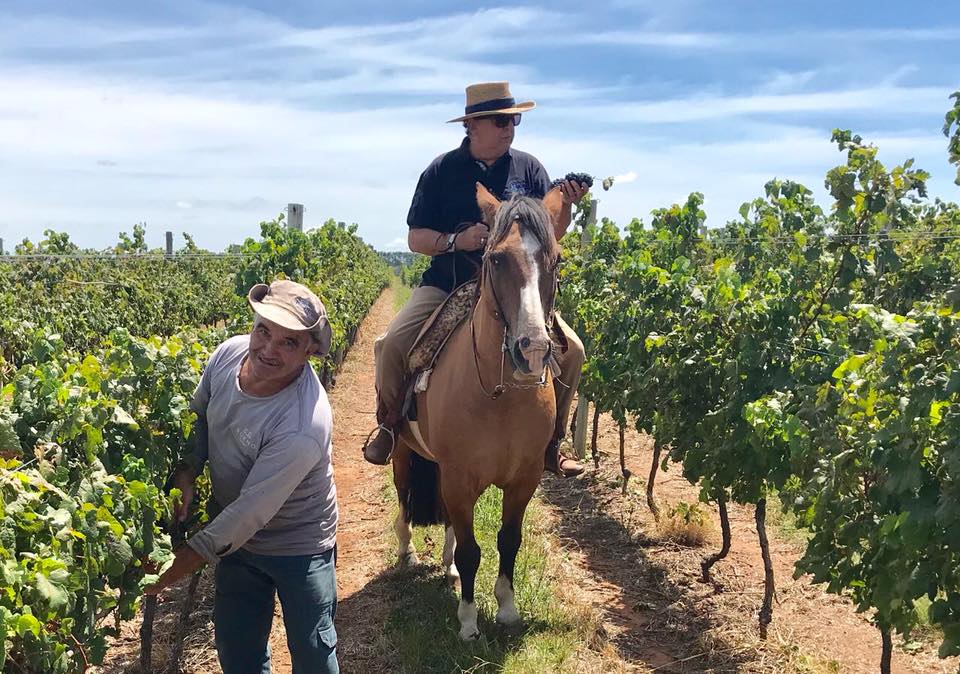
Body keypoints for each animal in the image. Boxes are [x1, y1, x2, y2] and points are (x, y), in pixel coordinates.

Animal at [394, 181, 568, 636]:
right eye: (495, 258)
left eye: (556, 260)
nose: (533, 350)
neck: (500, 396)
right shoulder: (460, 477)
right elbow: (473, 550)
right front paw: (469, 622)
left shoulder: (523, 479)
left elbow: (508, 540)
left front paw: (506, 608)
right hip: (401, 451)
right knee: (403, 499)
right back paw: (406, 553)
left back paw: (449, 568)